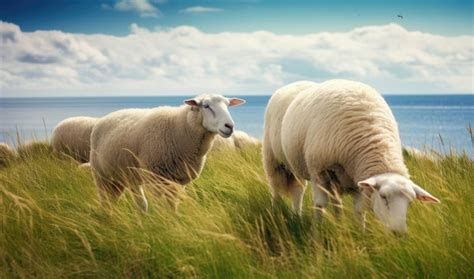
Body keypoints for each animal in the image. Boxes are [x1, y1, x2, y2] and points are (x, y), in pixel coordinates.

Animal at [90, 94, 244, 212]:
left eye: (228, 105)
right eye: (206, 106)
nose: (229, 126)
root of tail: (105, 117)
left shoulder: (179, 180)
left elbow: (172, 204)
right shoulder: (155, 177)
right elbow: (159, 205)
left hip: (127, 175)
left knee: (137, 203)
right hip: (101, 175)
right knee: (106, 201)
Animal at [262, 79, 440, 234]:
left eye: (410, 202)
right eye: (383, 196)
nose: (399, 233)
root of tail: (295, 83)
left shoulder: (357, 179)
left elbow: (359, 209)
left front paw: (360, 233)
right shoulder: (318, 171)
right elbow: (319, 205)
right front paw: (316, 234)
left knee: (302, 192)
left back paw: (311, 218)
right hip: (273, 160)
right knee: (276, 188)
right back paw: (276, 212)